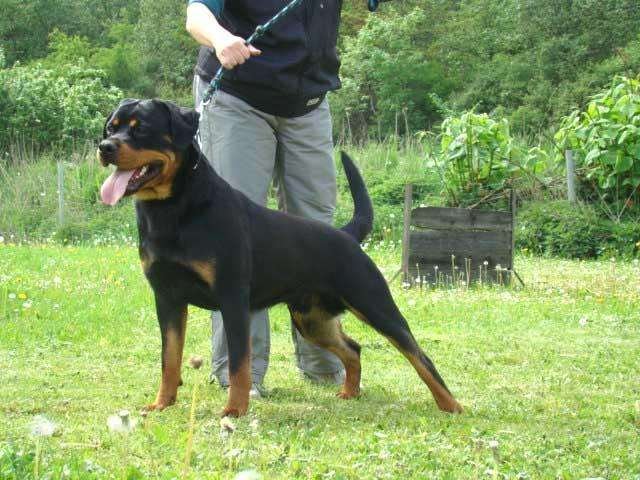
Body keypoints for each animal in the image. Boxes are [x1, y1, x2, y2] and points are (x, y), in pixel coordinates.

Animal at [97, 98, 462, 416]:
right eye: (110, 128)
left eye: (141, 129)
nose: (105, 147)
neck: (173, 210)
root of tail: (345, 234)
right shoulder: (167, 298)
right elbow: (169, 358)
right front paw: (162, 403)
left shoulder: (232, 299)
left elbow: (240, 364)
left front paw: (234, 410)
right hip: (310, 318)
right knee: (353, 349)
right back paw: (349, 392)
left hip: (374, 304)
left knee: (419, 356)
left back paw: (451, 406)